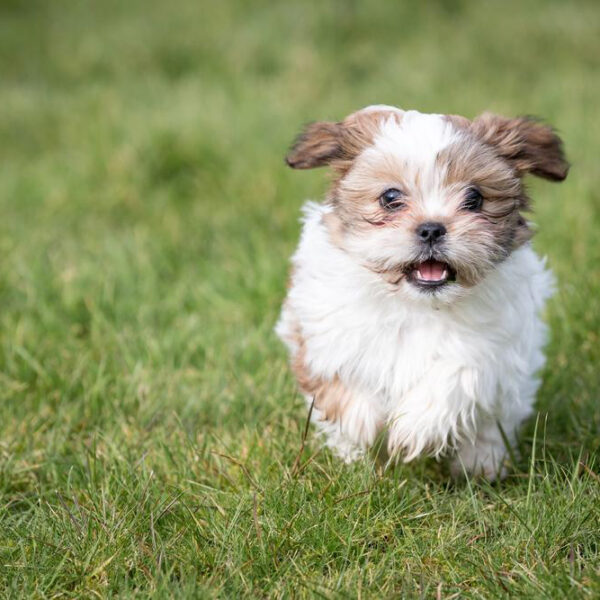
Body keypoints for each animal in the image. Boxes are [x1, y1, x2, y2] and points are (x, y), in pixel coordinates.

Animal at [276, 105, 568, 480]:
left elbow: (461, 372)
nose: (431, 228)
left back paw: (481, 466)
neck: (417, 305)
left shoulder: (498, 343)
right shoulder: (322, 327)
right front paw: (361, 423)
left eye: (474, 198)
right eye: (390, 197)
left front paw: (415, 426)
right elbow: (341, 378)